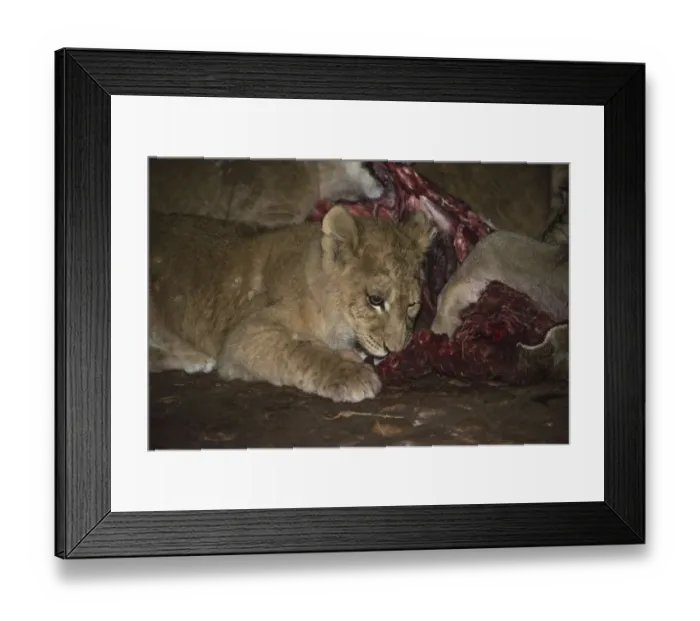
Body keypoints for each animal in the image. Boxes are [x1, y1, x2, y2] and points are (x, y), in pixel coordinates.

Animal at [148, 205, 436, 403]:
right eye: (375, 300)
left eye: (412, 305)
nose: (395, 350)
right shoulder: (243, 335)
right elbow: (301, 348)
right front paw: (350, 371)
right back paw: (195, 359)